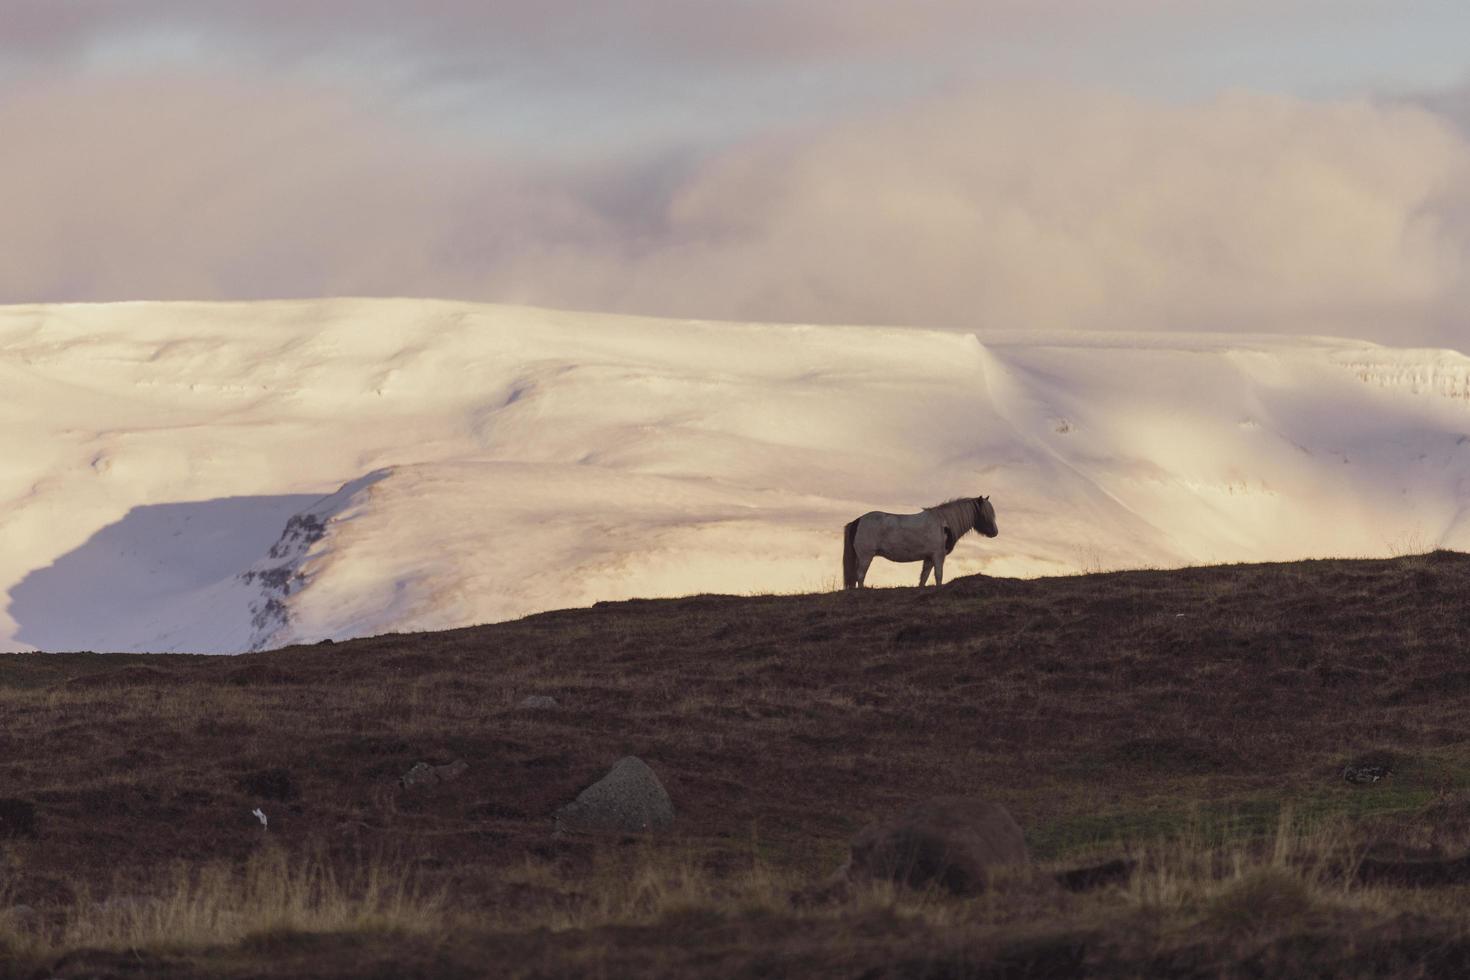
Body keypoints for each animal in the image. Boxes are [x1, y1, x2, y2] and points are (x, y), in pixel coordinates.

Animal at [840, 493, 999, 587]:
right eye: (985, 514)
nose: (995, 533)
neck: (943, 523)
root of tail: (857, 521)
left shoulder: (928, 558)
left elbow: (924, 578)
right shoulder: (938, 556)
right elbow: (938, 576)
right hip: (866, 556)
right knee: (860, 576)